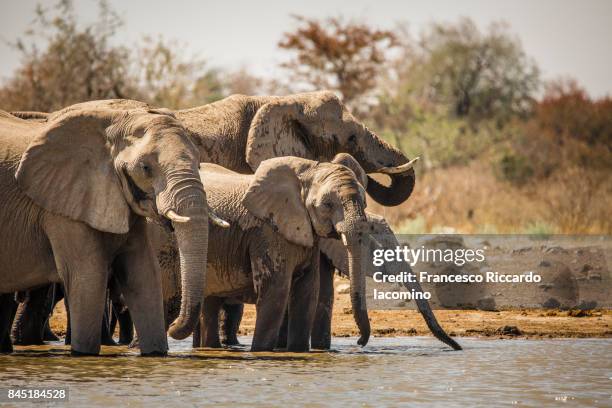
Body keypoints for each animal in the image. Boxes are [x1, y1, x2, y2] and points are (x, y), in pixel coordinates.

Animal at [0, 107, 220, 356]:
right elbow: (88, 277)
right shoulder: (63, 207)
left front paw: (155, 355)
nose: (174, 328)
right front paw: (83, 355)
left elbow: (144, 273)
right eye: (145, 168)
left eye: (199, 165)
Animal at [153, 155, 372, 352]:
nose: (360, 342)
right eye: (327, 205)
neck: (308, 170)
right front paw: (261, 353)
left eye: (364, 203)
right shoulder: (268, 232)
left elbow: (307, 292)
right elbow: (275, 292)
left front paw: (298, 353)